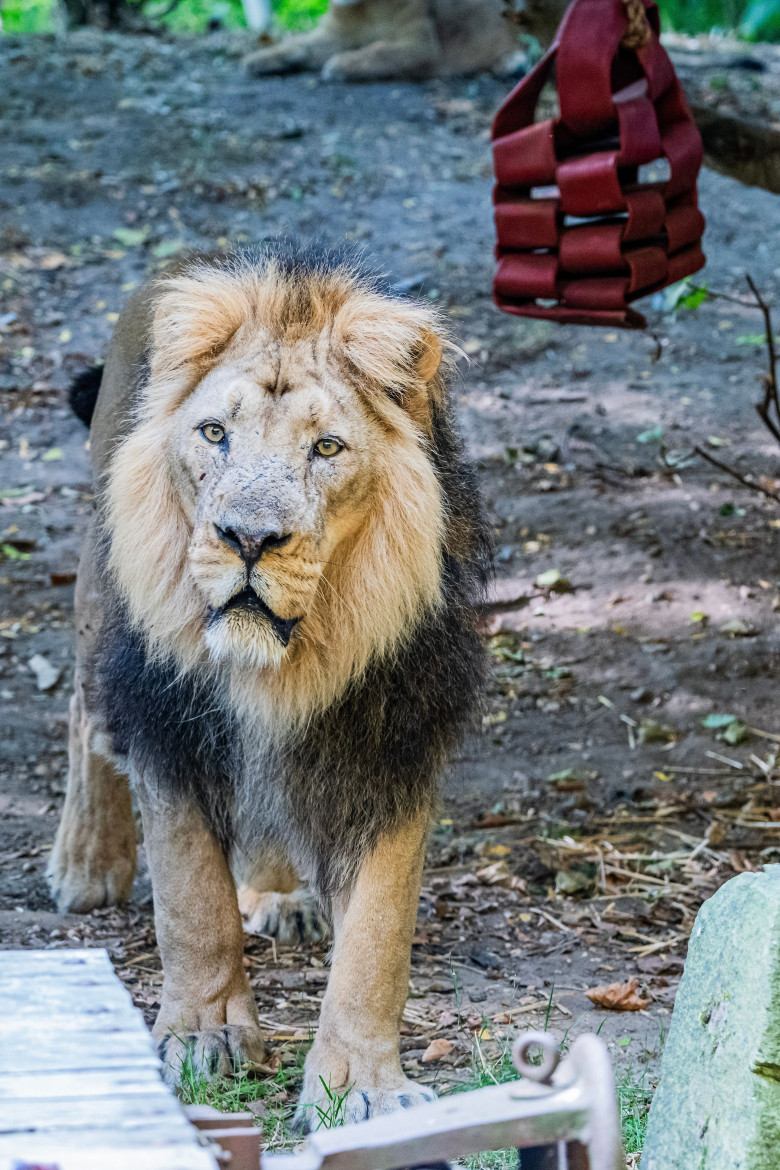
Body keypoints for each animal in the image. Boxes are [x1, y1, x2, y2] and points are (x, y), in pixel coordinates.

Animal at [47, 244, 488, 1123]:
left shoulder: (392, 743)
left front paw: (359, 1087)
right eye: (215, 433)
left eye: (327, 449)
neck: (290, 661)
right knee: (84, 708)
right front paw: (203, 1037)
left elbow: (377, 938)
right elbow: (191, 901)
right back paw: (85, 863)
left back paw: (278, 895)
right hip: (101, 598)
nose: (248, 538)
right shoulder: (169, 727)